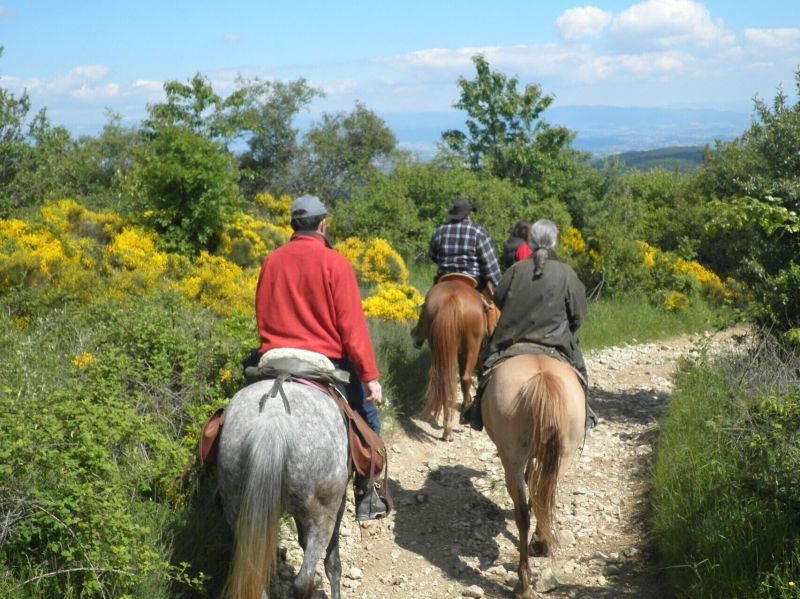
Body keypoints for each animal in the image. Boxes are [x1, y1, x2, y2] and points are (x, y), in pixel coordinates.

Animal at [216, 380, 350, 599]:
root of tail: (273, 415)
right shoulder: (339, 505)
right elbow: (333, 563)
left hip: (237, 509)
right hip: (323, 516)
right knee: (303, 581)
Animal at [412, 276, 494, 440]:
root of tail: (452, 299)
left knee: (445, 381)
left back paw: (447, 428)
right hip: (472, 347)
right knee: (465, 378)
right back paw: (461, 418)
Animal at [482, 356, 588, 599]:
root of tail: (542, 377)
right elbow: (535, 482)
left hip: (511, 459)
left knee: (523, 512)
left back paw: (523, 583)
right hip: (563, 456)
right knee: (544, 498)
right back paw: (539, 544)